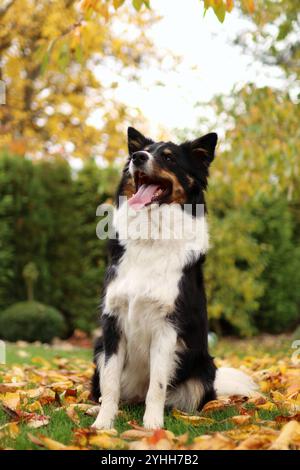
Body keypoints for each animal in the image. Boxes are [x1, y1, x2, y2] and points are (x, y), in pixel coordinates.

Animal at [91, 126, 255, 430]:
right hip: (97, 348)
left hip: (203, 370)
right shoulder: (112, 323)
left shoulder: (167, 327)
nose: (137, 157)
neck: (151, 236)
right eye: (142, 152)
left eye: (168, 157)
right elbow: (110, 382)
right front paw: (103, 424)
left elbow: (157, 385)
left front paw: (153, 426)